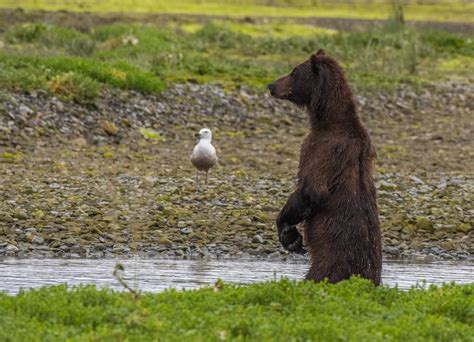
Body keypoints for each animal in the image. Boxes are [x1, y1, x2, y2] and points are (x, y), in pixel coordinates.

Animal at [268, 49, 384, 286]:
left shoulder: (321, 149)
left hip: (327, 267)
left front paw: (288, 234)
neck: (327, 119)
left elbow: (312, 190)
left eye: (294, 72)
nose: (271, 85)